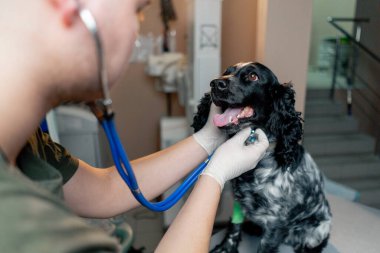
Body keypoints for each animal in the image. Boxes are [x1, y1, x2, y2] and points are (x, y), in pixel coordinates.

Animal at [191, 61, 332, 253]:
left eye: (253, 76)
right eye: (226, 72)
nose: (215, 83)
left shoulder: (275, 223)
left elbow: (265, 246)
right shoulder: (239, 201)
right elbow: (234, 227)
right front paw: (226, 248)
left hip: (317, 232)